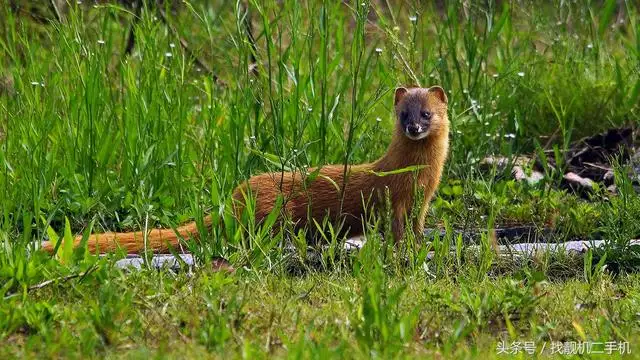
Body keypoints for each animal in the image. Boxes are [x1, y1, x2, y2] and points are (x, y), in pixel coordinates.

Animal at [41, 85, 450, 253]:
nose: (414, 127)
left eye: (426, 113)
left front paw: (421, 243)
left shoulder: (423, 200)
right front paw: (404, 248)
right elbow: (396, 226)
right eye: (403, 114)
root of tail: (236, 196)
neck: (419, 175)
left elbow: (416, 226)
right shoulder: (396, 198)